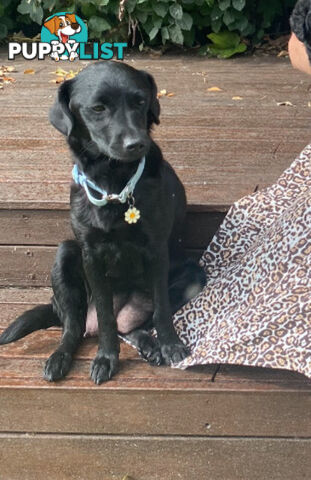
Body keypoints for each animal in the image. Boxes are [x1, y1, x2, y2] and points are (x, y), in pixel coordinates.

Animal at [0, 62, 207, 384]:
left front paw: (170, 345)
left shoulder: (157, 250)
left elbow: (161, 310)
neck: (114, 183)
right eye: (97, 108)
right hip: (65, 255)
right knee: (74, 328)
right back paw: (59, 358)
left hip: (194, 275)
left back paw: (150, 345)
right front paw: (106, 359)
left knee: (133, 326)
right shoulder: (92, 255)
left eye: (140, 101)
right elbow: (106, 319)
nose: (136, 144)